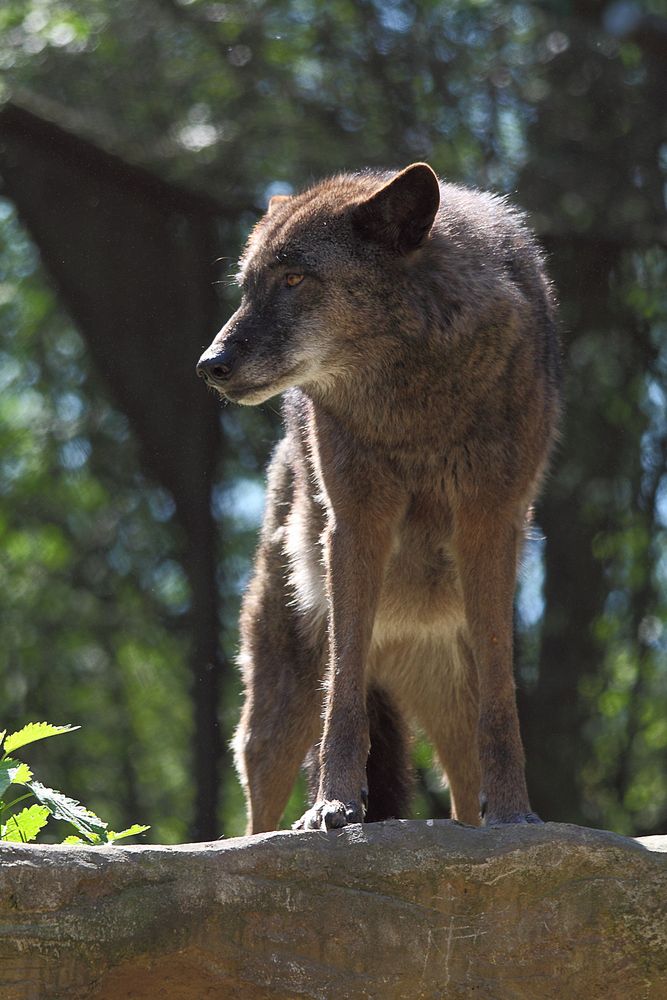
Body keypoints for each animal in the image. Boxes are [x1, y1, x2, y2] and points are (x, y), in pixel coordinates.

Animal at [196, 164, 560, 832]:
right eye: (246, 288)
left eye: (293, 279)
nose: (211, 364)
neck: (416, 408)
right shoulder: (355, 525)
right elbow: (343, 696)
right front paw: (333, 806)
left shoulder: (490, 523)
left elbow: (502, 705)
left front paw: (516, 815)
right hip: (277, 707)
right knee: (259, 810)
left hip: (450, 711)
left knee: (464, 794)